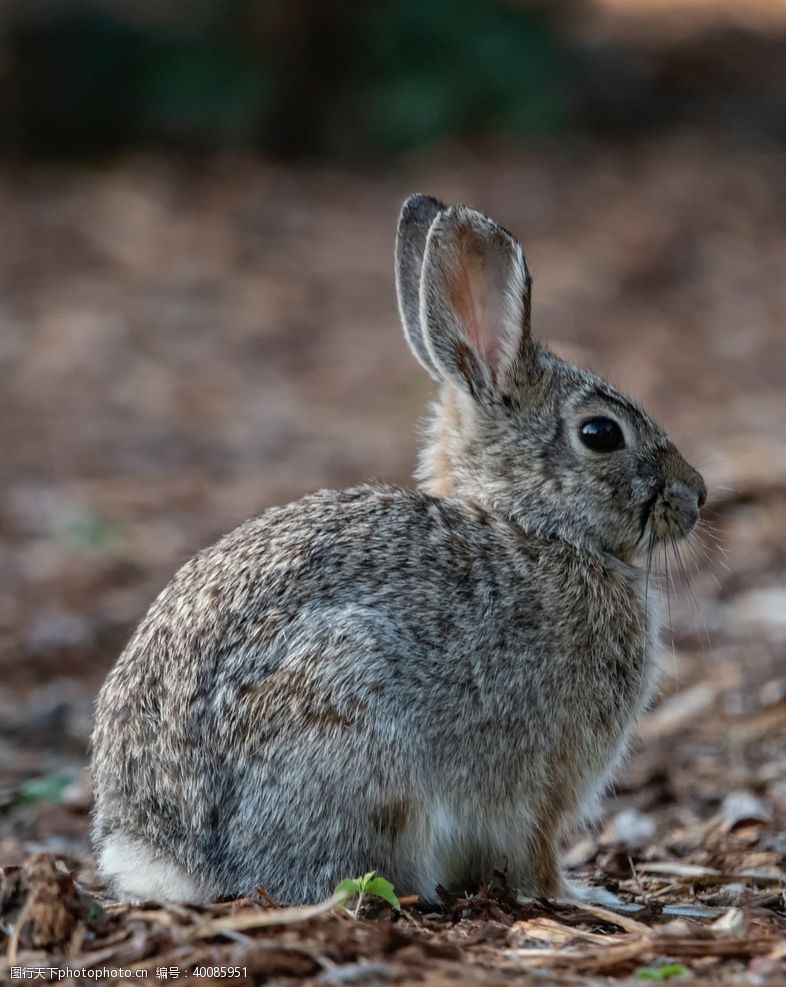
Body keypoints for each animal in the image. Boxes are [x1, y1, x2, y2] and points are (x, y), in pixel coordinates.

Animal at [90, 191, 704, 904]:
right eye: (601, 433)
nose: (697, 495)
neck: (537, 528)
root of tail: (168, 855)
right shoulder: (542, 784)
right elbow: (538, 856)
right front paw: (582, 896)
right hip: (344, 721)